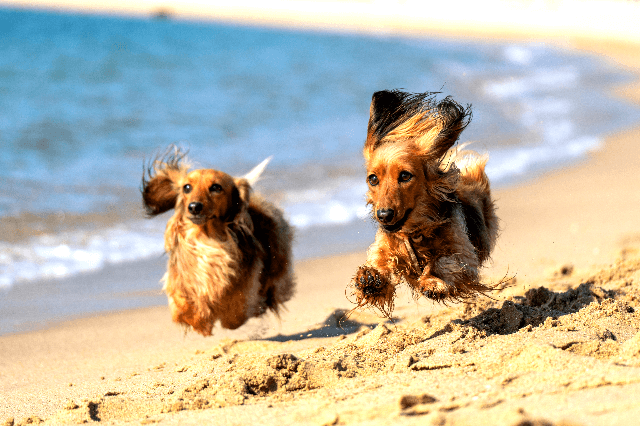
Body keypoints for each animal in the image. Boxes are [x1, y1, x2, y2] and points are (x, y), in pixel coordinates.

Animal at [142, 147, 296, 336]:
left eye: (216, 187)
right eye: (187, 187)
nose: (194, 207)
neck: (207, 237)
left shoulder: (245, 287)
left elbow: (234, 313)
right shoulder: (181, 280)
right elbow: (183, 304)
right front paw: (199, 319)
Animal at [352, 90, 498, 316]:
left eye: (405, 176)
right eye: (373, 179)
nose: (384, 215)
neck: (415, 232)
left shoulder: (464, 256)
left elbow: (444, 261)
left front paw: (433, 282)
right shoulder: (385, 246)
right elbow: (380, 261)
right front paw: (370, 279)